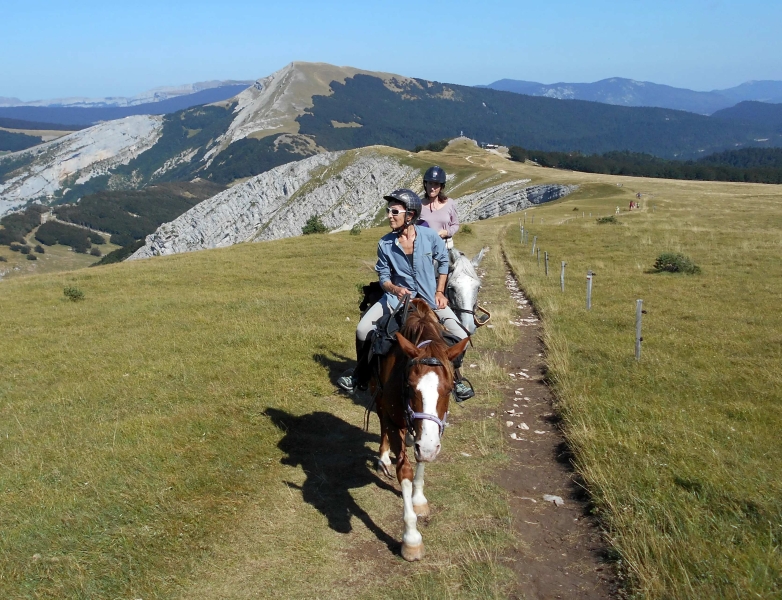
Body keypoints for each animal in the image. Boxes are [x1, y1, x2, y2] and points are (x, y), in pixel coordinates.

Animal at [374, 298, 472, 560]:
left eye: (449, 388)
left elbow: (421, 458)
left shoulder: (428, 433)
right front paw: (411, 540)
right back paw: (383, 457)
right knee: (380, 418)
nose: (427, 447)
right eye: (409, 386)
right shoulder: (395, 420)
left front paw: (418, 499)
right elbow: (405, 470)